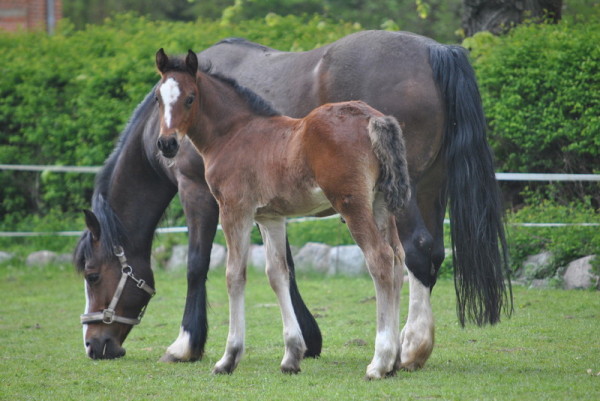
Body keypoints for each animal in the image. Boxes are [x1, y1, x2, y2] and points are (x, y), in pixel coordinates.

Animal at [75, 30, 510, 368]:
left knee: (404, 255)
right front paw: (303, 343)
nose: (95, 345)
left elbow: (205, 267)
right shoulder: (270, 208)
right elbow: (281, 268)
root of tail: (436, 50)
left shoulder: (203, 194)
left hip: (389, 199)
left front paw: (190, 346)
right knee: (422, 253)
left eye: (92, 274)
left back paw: (403, 351)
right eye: (158, 100)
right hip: (424, 187)